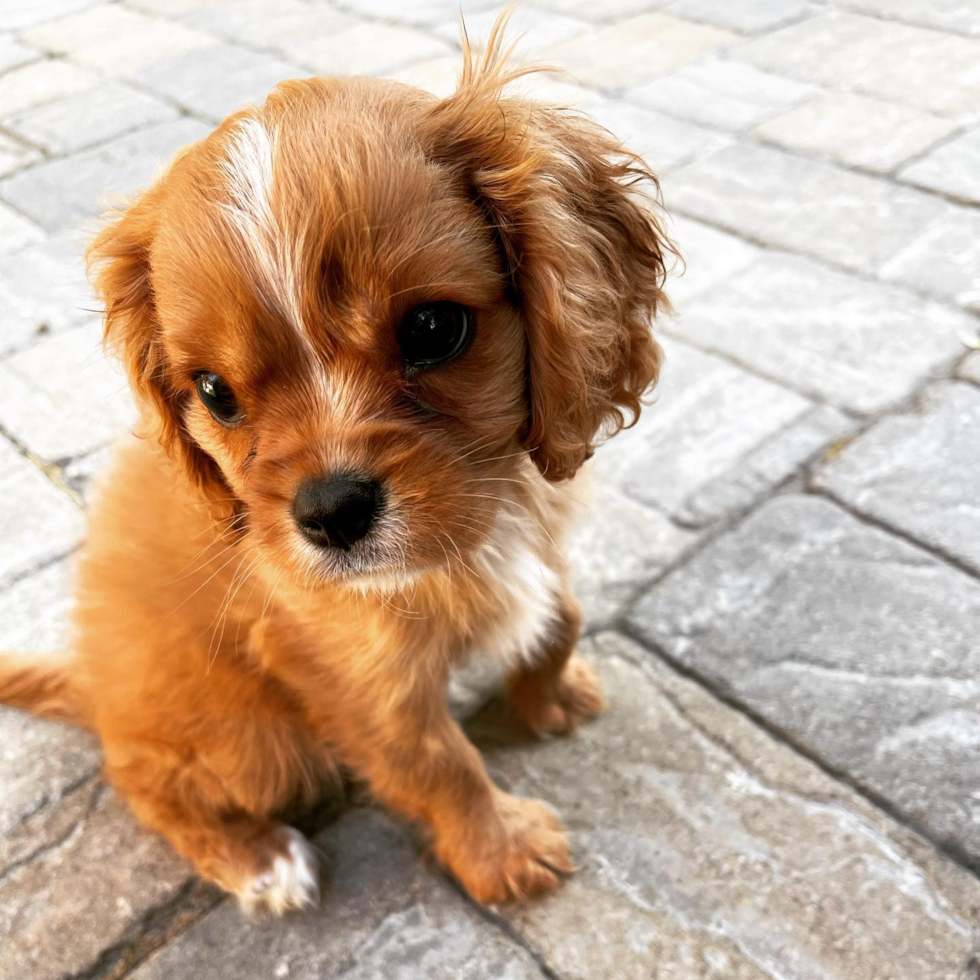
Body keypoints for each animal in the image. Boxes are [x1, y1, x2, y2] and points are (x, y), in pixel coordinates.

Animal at [0, 24, 668, 920]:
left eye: (433, 328)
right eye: (214, 392)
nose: (329, 513)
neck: (486, 518)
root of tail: (96, 690)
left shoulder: (537, 546)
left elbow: (560, 614)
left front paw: (549, 696)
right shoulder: (353, 671)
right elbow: (438, 761)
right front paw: (501, 851)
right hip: (253, 739)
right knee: (143, 779)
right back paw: (255, 857)